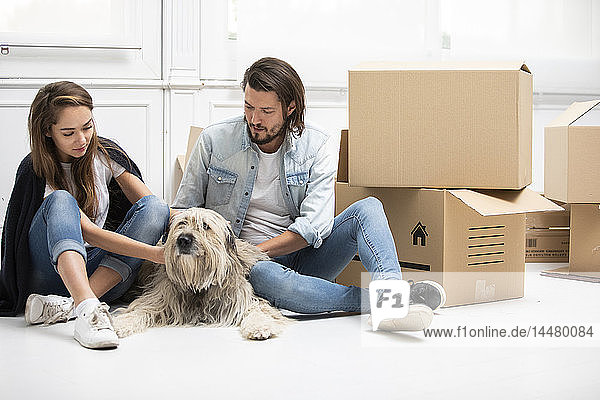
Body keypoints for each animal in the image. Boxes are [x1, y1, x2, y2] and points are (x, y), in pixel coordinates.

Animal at [114, 206, 290, 340]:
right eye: (182, 223)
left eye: (205, 226)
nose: (183, 239)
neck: (198, 283)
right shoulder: (161, 297)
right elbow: (141, 309)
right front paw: (121, 324)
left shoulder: (239, 297)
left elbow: (257, 309)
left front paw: (260, 326)